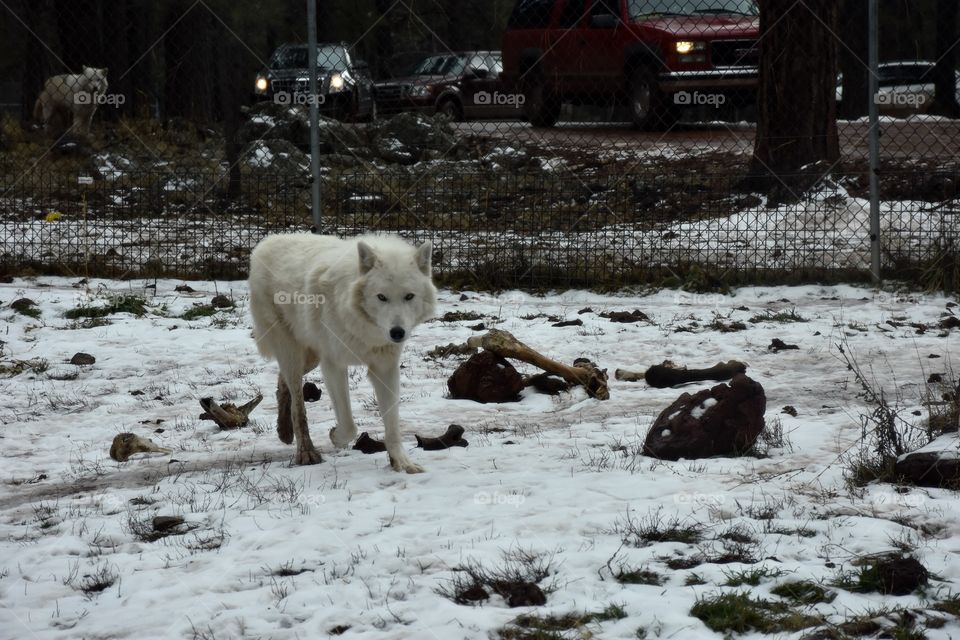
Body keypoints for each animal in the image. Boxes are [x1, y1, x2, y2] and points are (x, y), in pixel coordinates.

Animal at [249, 234, 436, 473]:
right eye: (381, 297)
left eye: (409, 296)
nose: (397, 332)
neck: (363, 328)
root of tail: (266, 242)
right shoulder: (333, 365)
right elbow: (349, 426)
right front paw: (335, 437)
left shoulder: (385, 368)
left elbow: (393, 425)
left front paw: (402, 463)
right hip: (292, 353)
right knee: (298, 404)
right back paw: (306, 452)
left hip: (310, 357)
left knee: (283, 384)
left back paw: (284, 432)